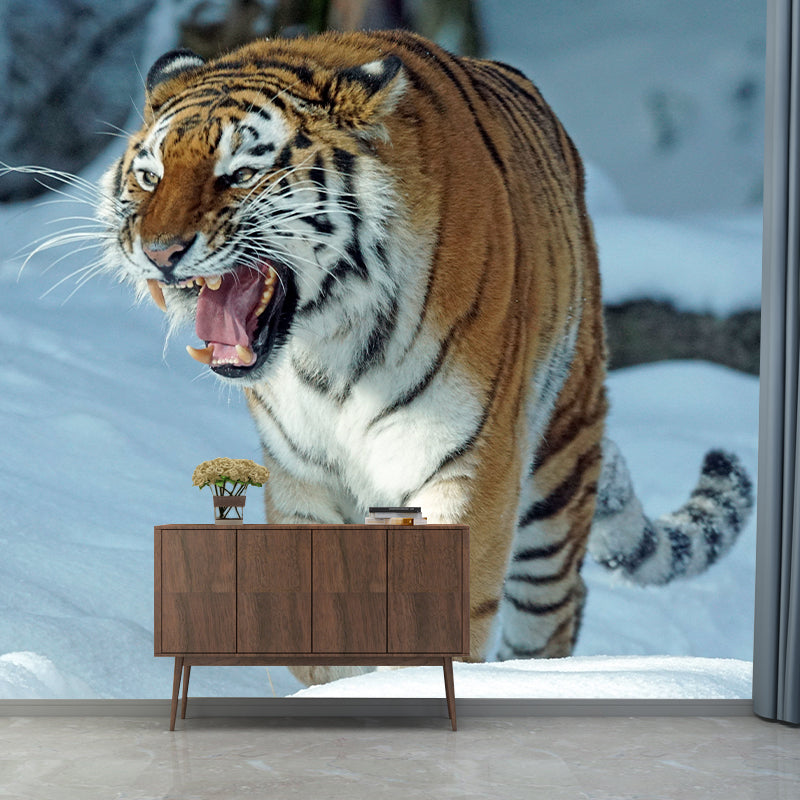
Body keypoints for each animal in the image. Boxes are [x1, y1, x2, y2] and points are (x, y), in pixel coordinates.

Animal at [95, 30, 753, 686]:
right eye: (150, 177)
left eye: (241, 173)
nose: (158, 252)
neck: (327, 346)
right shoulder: (301, 474)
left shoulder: (467, 465)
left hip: (559, 467)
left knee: (556, 608)